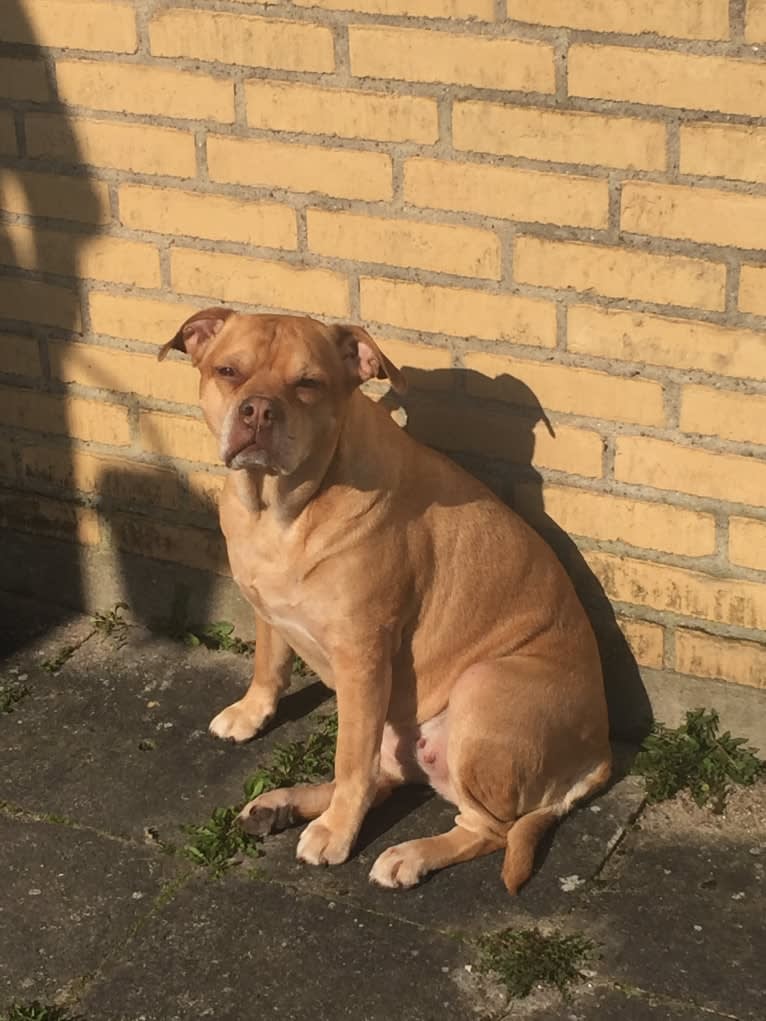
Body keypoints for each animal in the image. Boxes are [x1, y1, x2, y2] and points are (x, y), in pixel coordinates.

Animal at [162, 310, 612, 894]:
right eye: (228, 371)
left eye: (308, 383)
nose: (257, 410)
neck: (282, 507)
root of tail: (601, 754)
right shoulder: (268, 609)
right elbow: (269, 664)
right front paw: (251, 713)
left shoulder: (363, 658)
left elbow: (350, 761)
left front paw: (338, 836)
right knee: (388, 776)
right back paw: (280, 805)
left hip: (481, 687)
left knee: (486, 827)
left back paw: (404, 853)